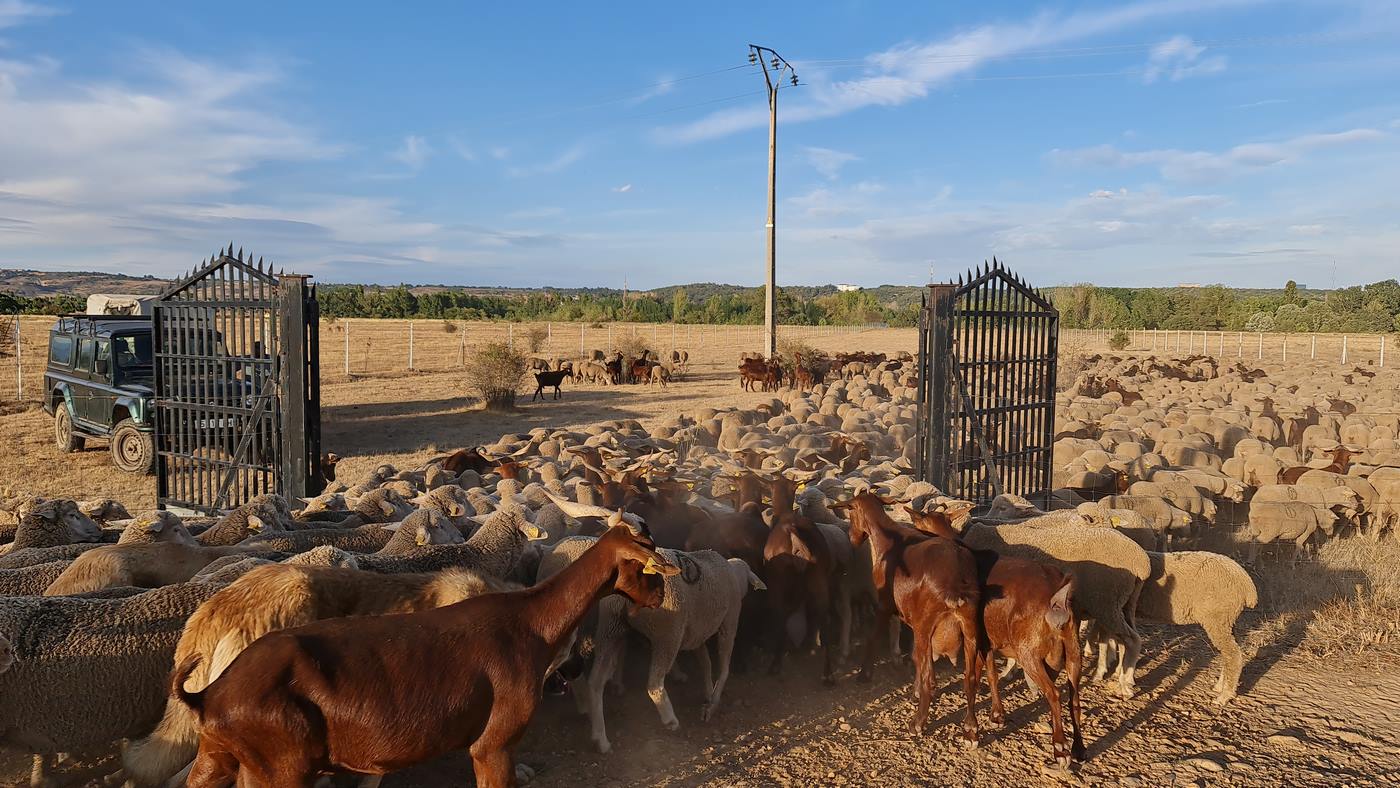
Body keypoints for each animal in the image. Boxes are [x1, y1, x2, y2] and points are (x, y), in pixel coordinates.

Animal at [177, 523, 680, 788]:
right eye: (648, 565)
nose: (661, 596)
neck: (531, 620)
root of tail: (209, 695)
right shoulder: (492, 745)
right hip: (279, 772)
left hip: (220, 760)